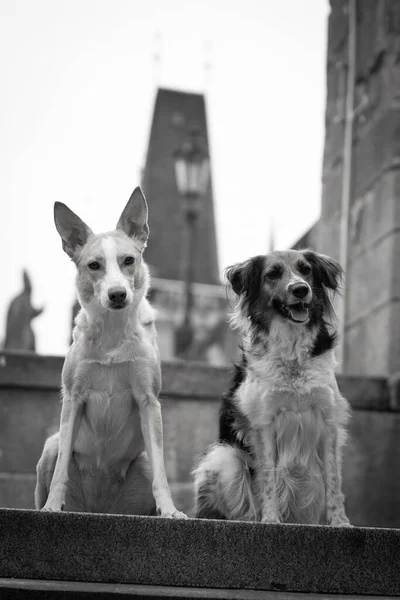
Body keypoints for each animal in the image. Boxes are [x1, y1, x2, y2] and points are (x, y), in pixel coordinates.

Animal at [193, 248, 350, 524]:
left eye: (306, 269)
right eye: (273, 274)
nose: (301, 289)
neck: (292, 354)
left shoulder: (328, 421)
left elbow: (334, 481)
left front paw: (340, 522)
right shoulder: (262, 423)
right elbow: (268, 478)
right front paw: (270, 520)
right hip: (224, 456)